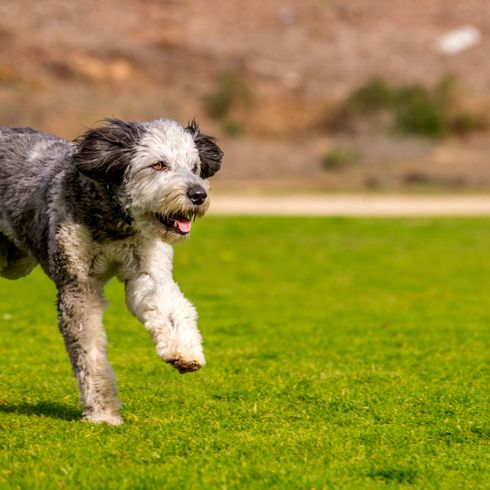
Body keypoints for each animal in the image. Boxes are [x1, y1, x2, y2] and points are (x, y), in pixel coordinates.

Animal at [0, 118, 224, 424]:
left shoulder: (148, 272)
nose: (198, 194)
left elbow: (171, 308)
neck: (115, 220)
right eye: (158, 165)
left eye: (194, 167)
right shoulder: (78, 286)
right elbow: (90, 354)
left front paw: (184, 351)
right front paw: (103, 412)